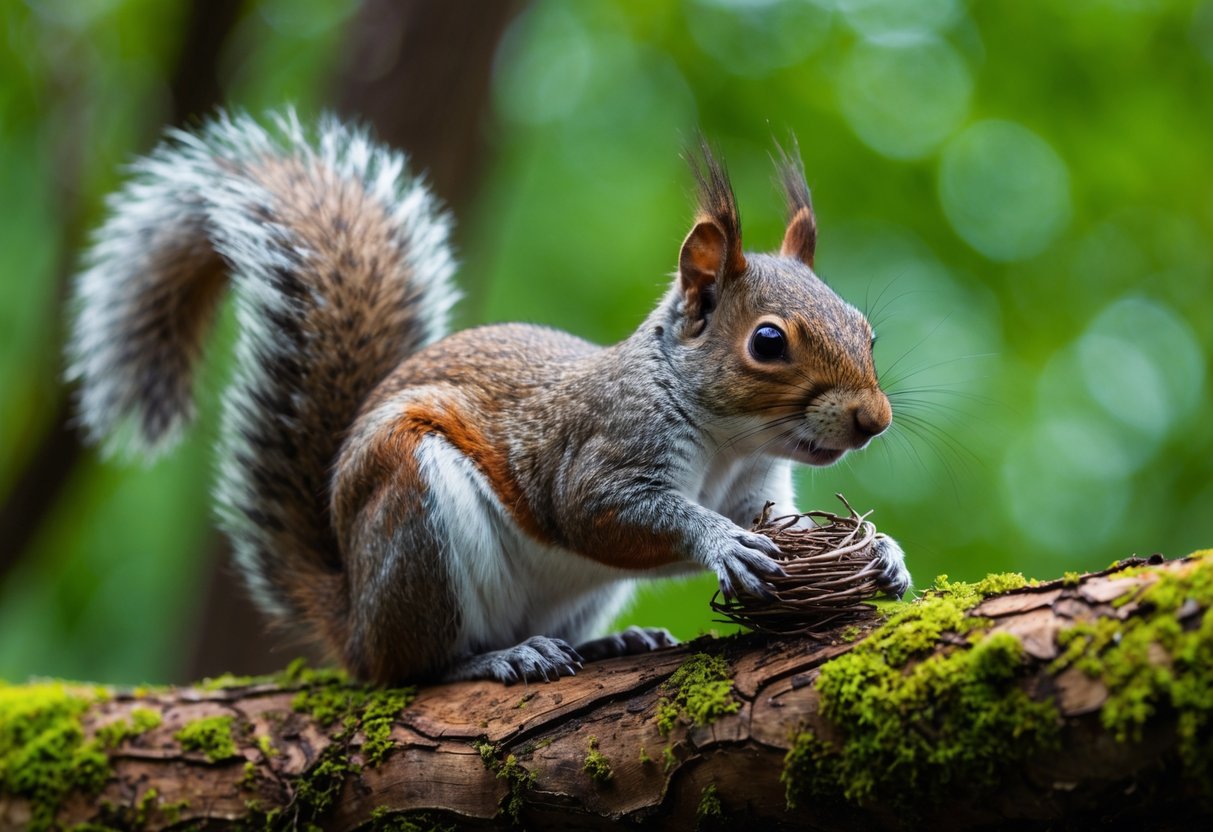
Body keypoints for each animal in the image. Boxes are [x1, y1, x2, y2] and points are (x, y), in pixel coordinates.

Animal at [67, 111, 910, 685]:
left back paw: (610, 643)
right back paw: (492, 660)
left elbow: (783, 522)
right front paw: (722, 544)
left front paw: (884, 553)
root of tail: (353, 623)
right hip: (413, 513)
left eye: (865, 330)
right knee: (413, 669)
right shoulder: (599, 452)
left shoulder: (755, 487)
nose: (873, 420)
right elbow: (604, 512)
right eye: (766, 342)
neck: (727, 441)